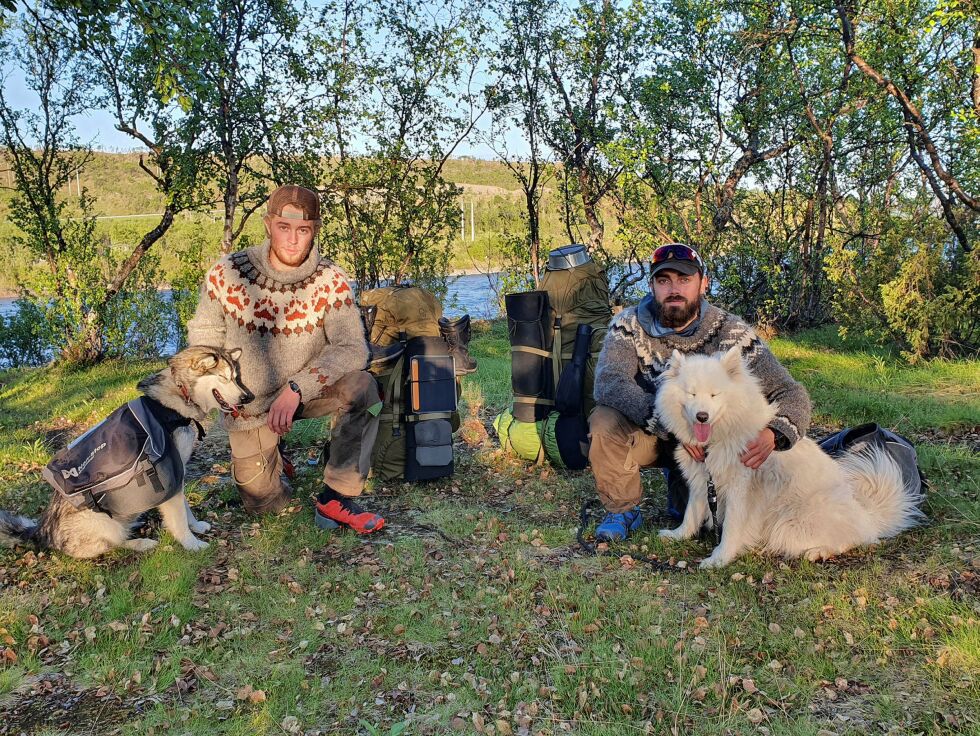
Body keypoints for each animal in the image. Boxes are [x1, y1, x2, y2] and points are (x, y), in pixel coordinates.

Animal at [0, 344, 253, 556]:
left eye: (235, 378)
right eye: (223, 378)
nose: (247, 397)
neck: (177, 397)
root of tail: (41, 532)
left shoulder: (177, 473)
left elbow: (185, 508)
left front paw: (196, 526)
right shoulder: (169, 475)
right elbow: (179, 519)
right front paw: (192, 544)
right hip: (105, 524)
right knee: (112, 545)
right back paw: (141, 543)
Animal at [656, 346, 924, 568]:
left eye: (714, 395)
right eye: (691, 394)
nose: (702, 416)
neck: (719, 437)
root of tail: (867, 516)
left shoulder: (739, 489)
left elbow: (731, 527)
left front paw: (719, 558)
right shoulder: (703, 480)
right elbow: (691, 513)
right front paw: (677, 535)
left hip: (792, 523)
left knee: (854, 540)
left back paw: (817, 552)